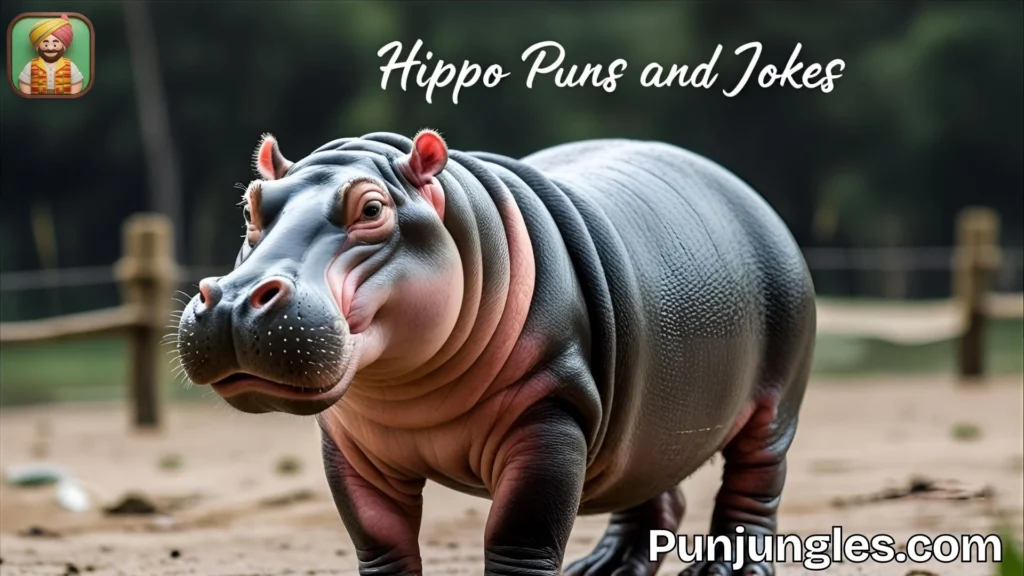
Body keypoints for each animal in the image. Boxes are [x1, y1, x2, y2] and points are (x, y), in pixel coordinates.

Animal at [176, 129, 816, 576]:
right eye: (252, 206)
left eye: (372, 209)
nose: (234, 301)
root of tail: (742, 188)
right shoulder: (352, 443)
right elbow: (379, 539)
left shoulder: (549, 415)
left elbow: (518, 536)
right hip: (653, 419)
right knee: (652, 489)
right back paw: (604, 568)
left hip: (774, 403)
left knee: (754, 482)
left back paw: (724, 569)